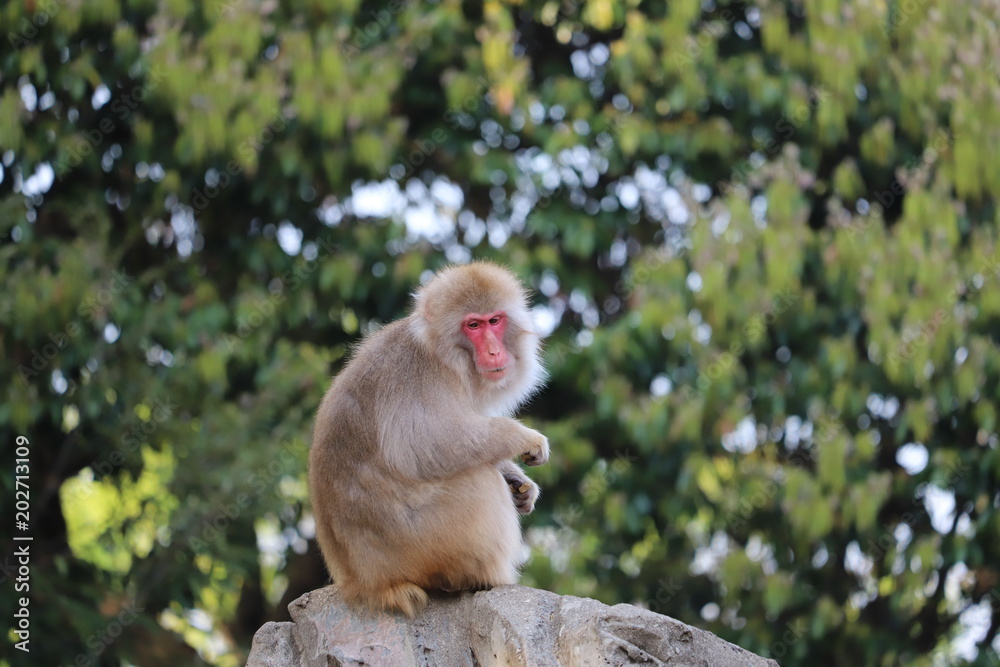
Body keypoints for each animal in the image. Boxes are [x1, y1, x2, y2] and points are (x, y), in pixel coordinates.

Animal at [308, 261, 550, 617]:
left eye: (494, 320)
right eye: (473, 325)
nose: (494, 351)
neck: (443, 353)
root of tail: (363, 583)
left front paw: (521, 483)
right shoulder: (419, 376)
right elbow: (428, 446)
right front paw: (523, 438)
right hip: (419, 544)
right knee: (477, 478)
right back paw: (489, 577)